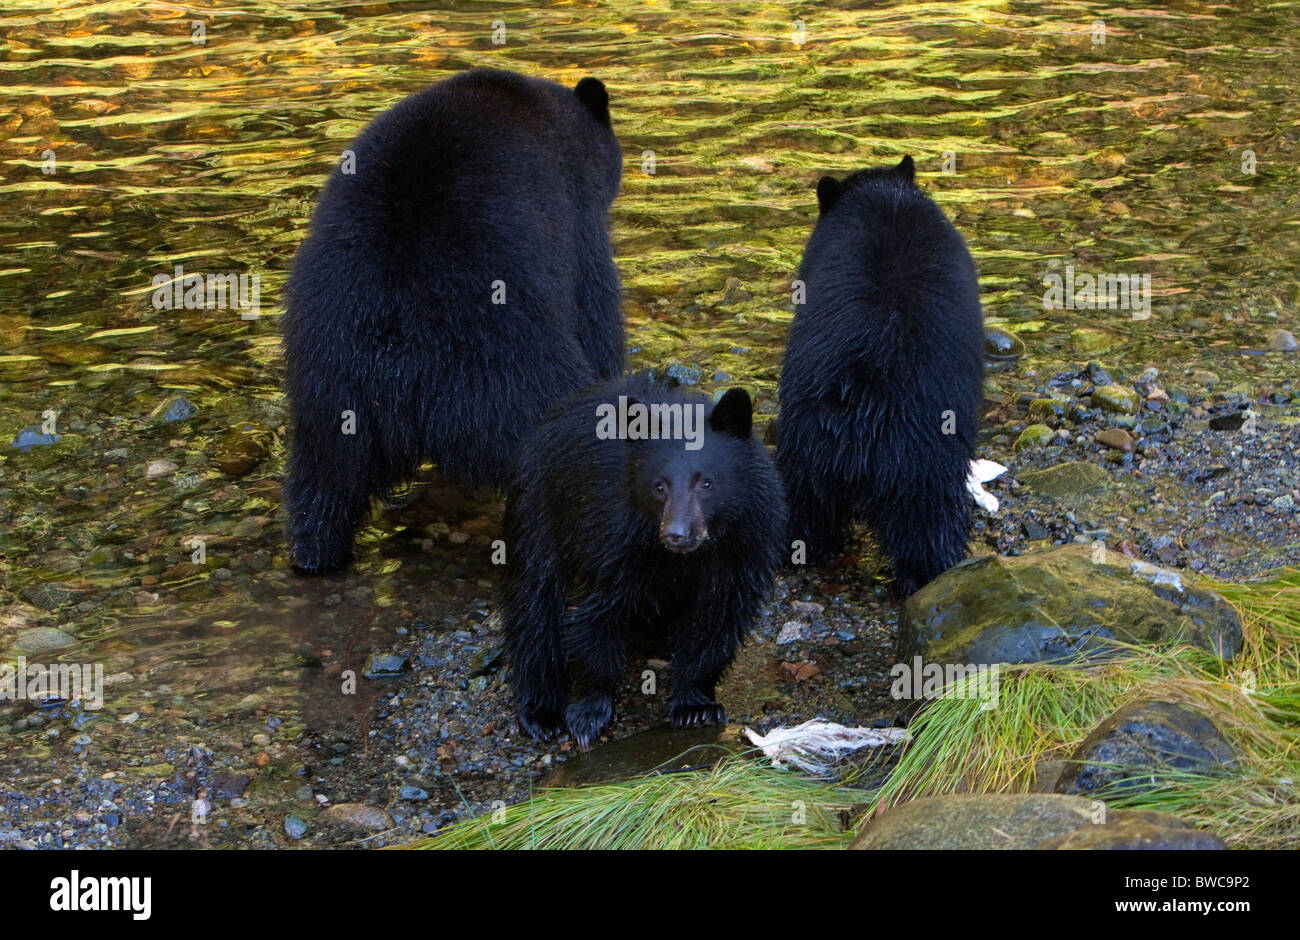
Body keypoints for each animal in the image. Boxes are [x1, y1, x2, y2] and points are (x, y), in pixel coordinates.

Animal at [282, 68, 624, 574]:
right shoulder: (577, 218)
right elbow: (597, 317)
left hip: (327, 386)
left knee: (323, 485)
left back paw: (314, 554)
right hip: (506, 364)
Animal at [501, 374, 787, 748]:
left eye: (706, 483)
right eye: (659, 486)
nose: (676, 534)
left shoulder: (744, 542)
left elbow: (719, 616)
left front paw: (696, 705)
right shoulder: (613, 534)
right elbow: (596, 613)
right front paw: (589, 713)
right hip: (539, 502)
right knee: (535, 598)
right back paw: (541, 712)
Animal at [776, 156, 985, 596]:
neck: (884, 196)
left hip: (805, 453)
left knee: (803, 512)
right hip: (923, 468)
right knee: (929, 529)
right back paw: (935, 572)